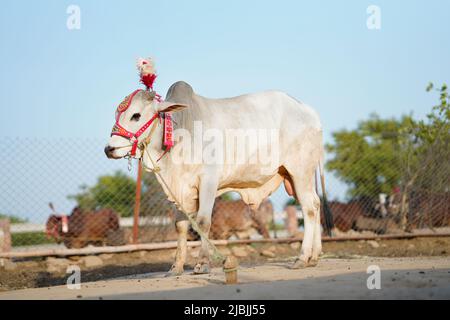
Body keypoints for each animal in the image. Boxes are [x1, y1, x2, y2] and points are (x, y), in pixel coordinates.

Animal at [103, 80, 332, 276]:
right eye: (116, 114)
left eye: (136, 115)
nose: (109, 149)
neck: (182, 131)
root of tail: (310, 112)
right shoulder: (178, 190)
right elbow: (181, 226)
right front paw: (176, 267)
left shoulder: (208, 181)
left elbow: (203, 222)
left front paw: (202, 264)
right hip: (293, 176)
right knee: (315, 204)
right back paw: (314, 257)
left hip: (300, 172)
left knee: (309, 209)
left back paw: (302, 258)